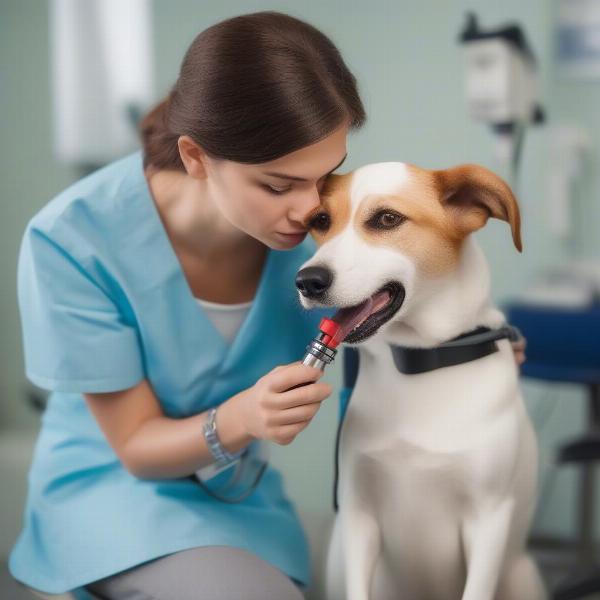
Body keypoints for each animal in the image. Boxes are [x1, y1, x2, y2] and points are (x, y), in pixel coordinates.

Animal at [296, 161, 548, 600]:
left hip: (521, 576)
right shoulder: (358, 513)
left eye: (387, 219)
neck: (422, 363)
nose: (307, 280)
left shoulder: (489, 520)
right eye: (321, 221)